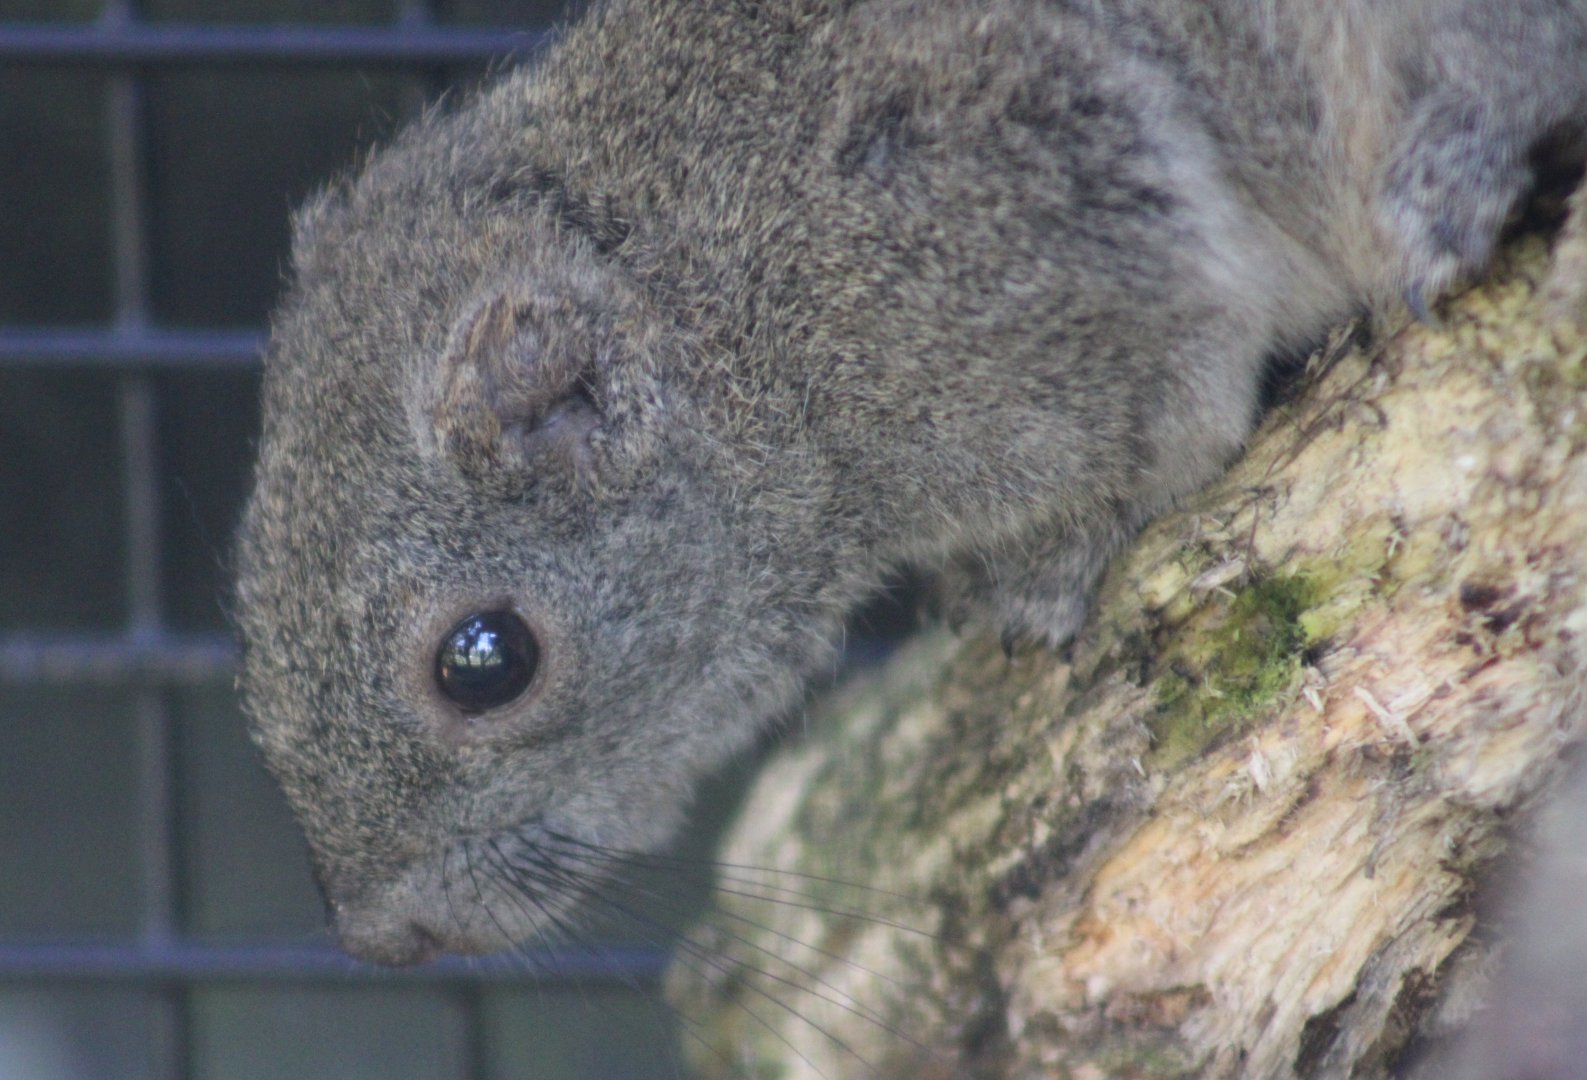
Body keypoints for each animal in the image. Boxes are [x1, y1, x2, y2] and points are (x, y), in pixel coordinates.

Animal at [235, 0, 1587, 967]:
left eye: (485, 661)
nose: (381, 939)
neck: (745, 323)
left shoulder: (1037, 213)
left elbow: (1171, 413)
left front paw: (1041, 564)